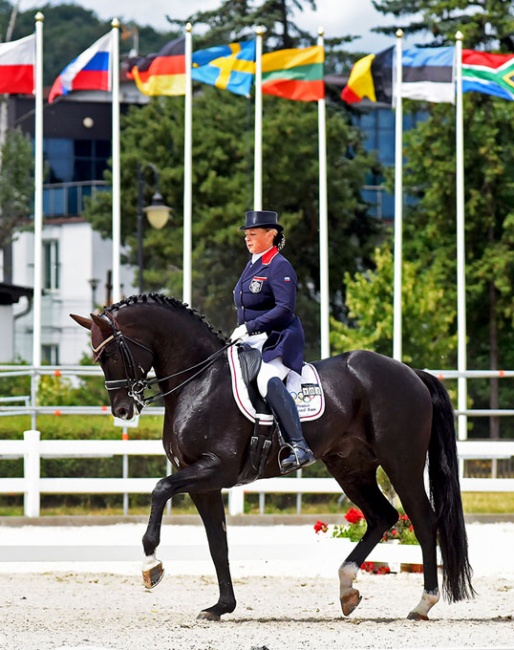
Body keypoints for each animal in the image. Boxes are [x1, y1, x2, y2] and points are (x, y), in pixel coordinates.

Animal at [71, 292, 472, 616]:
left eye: (109, 353)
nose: (124, 410)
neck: (201, 380)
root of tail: (411, 372)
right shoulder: (203, 483)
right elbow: (217, 544)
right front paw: (221, 607)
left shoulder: (214, 469)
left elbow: (159, 489)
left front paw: (151, 565)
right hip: (350, 466)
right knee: (382, 516)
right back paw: (347, 589)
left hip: (401, 462)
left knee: (423, 521)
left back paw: (423, 603)